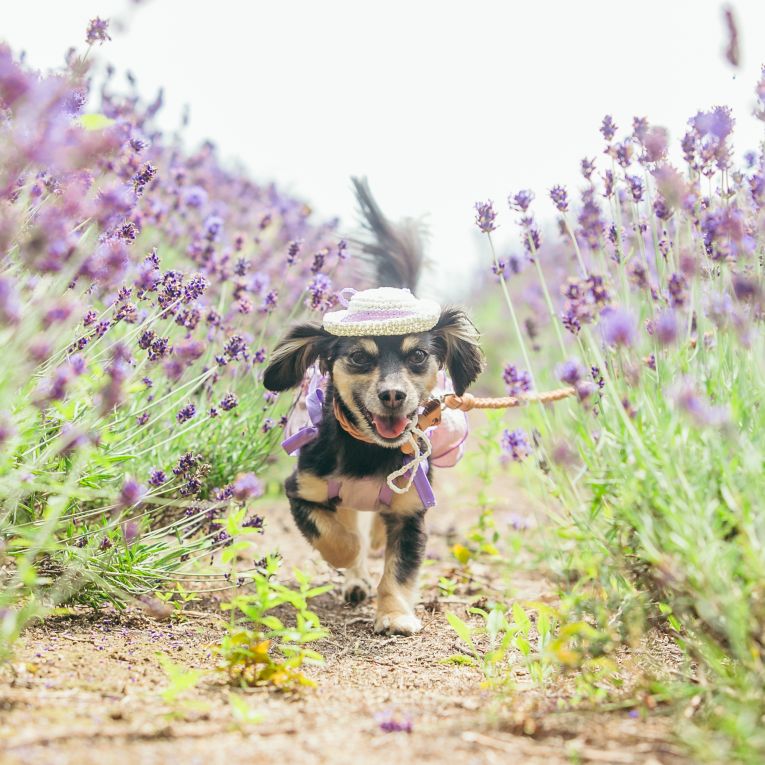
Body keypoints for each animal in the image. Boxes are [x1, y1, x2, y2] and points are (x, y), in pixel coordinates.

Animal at [262, 179, 484, 632]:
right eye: (359, 357)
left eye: (418, 356)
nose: (393, 395)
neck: (369, 451)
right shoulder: (302, 491)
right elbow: (338, 539)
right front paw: (354, 567)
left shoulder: (414, 510)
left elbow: (399, 569)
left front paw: (394, 614)